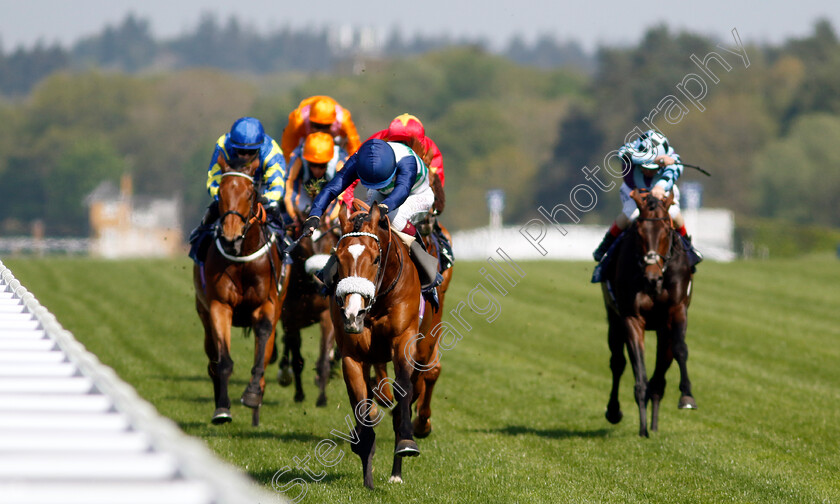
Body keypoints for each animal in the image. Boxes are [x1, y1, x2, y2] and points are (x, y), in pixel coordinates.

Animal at [194, 154, 288, 426]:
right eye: (221, 192)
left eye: (249, 194)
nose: (230, 239)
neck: (242, 256)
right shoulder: (219, 305)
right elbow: (223, 361)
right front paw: (222, 408)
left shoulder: (267, 304)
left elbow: (262, 344)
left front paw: (253, 393)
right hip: (203, 313)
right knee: (213, 358)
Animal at [328, 201, 436, 488]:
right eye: (338, 259)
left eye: (376, 258)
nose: (352, 313)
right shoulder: (352, 354)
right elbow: (360, 403)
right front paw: (365, 462)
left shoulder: (404, 339)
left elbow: (404, 390)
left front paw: (407, 442)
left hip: (424, 350)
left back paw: (397, 470)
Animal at [600, 189, 700, 438]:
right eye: (639, 232)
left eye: (666, 230)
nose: (652, 277)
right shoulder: (631, 317)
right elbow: (639, 372)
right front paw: (642, 428)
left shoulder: (676, 311)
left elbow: (680, 350)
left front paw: (687, 396)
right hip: (614, 319)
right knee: (618, 362)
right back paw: (616, 412)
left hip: (663, 330)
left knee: (660, 376)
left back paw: (654, 424)